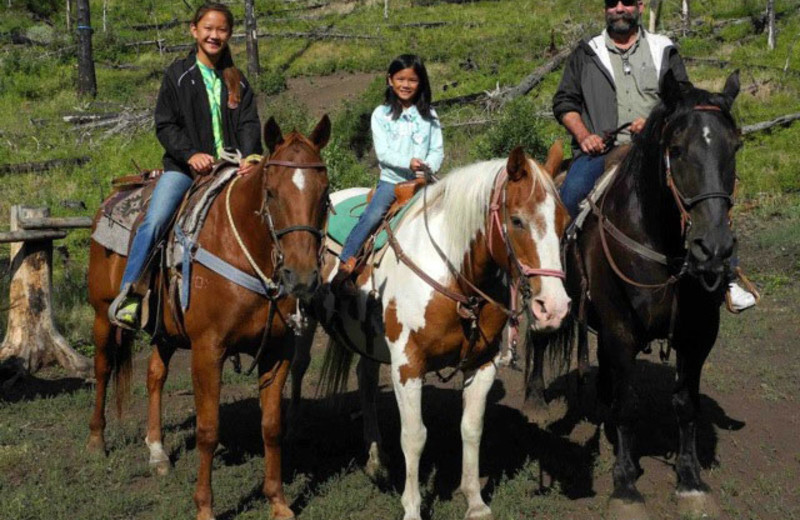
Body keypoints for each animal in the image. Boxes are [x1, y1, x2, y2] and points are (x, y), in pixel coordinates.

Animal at [84, 117, 328, 520]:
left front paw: (278, 501)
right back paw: (96, 440)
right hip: (102, 316)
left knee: (155, 376)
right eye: (272, 193)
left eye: (324, 195)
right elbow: (208, 430)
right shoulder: (207, 350)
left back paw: (157, 452)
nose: (302, 276)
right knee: (103, 370)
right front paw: (204, 508)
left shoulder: (277, 352)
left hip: (165, 331)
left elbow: (272, 426)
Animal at [296, 144, 572, 520]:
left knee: (365, 380)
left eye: (564, 222)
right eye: (517, 220)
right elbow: (414, 436)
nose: (554, 307)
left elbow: (471, 428)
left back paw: (376, 461)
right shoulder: (408, 365)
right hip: (303, 322)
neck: (455, 274)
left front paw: (475, 501)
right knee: (294, 372)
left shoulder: (483, 364)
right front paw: (412, 508)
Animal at [532, 71, 744, 516]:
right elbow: (628, 405)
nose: (714, 248)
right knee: (539, 340)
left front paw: (690, 480)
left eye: (735, 147)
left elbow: (686, 405)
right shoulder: (621, 327)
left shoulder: (698, 335)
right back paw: (536, 399)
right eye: (676, 149)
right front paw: (626, 484)